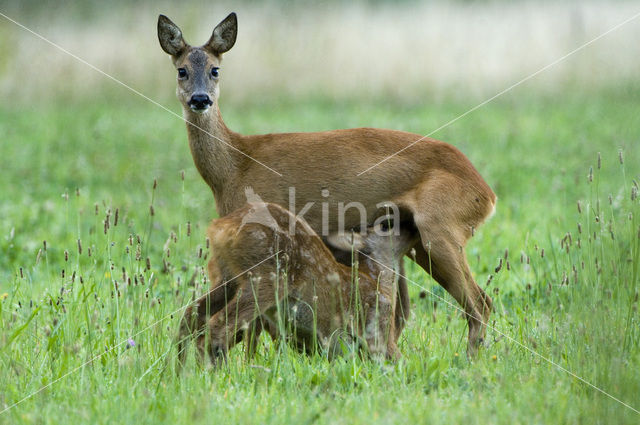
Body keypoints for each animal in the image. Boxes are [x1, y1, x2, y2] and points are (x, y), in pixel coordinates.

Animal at [158, 12, 498, 352]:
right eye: (181, 71)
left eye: (215, 70)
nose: (200, 99)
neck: (234, 167)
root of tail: (487, 193)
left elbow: (254, 329)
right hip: (415, 243)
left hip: (440, 227)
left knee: (479, 303)